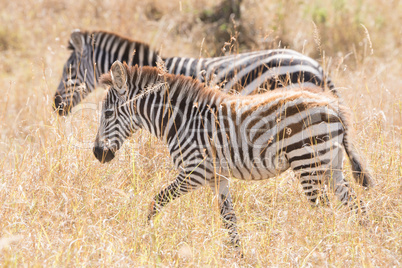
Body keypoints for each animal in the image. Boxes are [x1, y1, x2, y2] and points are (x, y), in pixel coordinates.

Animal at [92, 61, 372, 252]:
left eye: (107, 114)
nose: (97, 153)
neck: (179, 122)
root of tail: (333, 106)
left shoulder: (195, 172)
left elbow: (157, 200)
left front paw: (146, 237)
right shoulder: (218, 177)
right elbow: (229, 220)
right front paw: (240, 255)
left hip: (308, 163)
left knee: (325, 212)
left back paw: (322, 247)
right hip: (331, 167)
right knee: (357, 205)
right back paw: (366, 241)